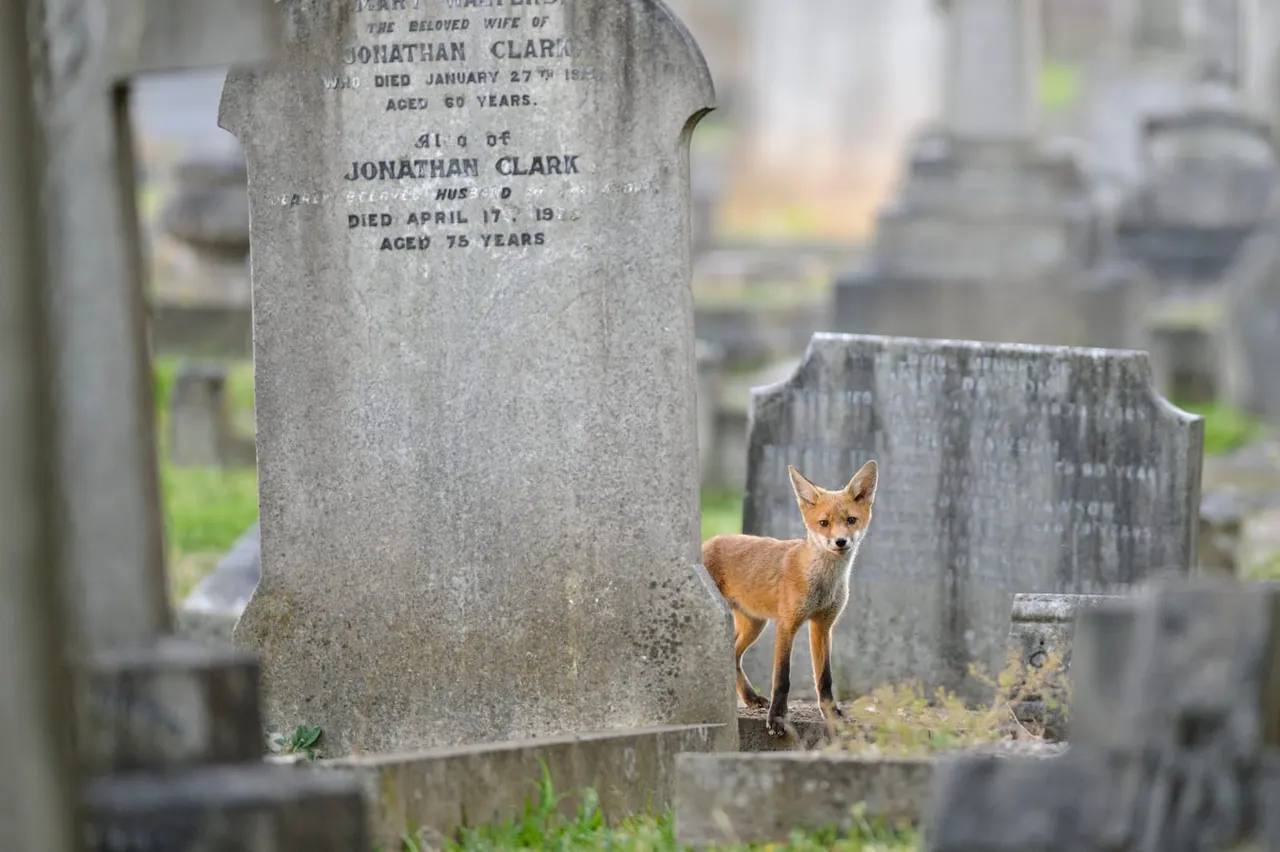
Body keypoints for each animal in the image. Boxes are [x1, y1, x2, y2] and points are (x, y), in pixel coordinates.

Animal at [702, 461, 878, 737]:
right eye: (823, 523)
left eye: (851, 520)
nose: (840, 541)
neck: (823, 584)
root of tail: (707, 541)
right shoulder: (787, 624)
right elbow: (782, 678)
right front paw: (777, 719)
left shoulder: (822, 626)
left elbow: (824, 678)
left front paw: (831, 714)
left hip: (755, 624)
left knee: (734, 655)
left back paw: (750, 698)